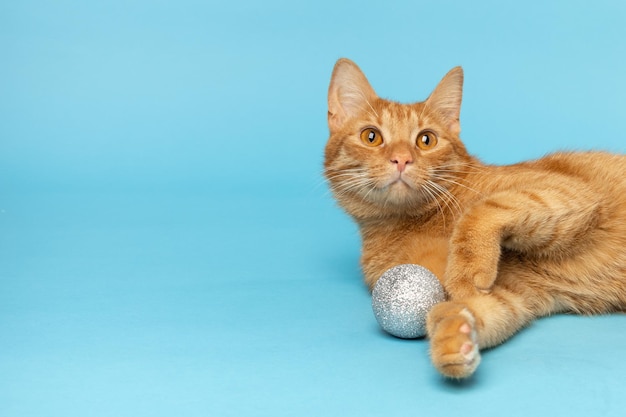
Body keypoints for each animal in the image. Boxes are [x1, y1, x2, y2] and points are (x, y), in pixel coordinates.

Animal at [324, 57, 624, 378]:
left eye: (426, 140)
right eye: (372, 136)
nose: (402, 159)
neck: (413, 222)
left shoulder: (568, 190)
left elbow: (483, 210)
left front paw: (468, 268)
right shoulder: (513, 294)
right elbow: (470, 309)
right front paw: (455, 337)